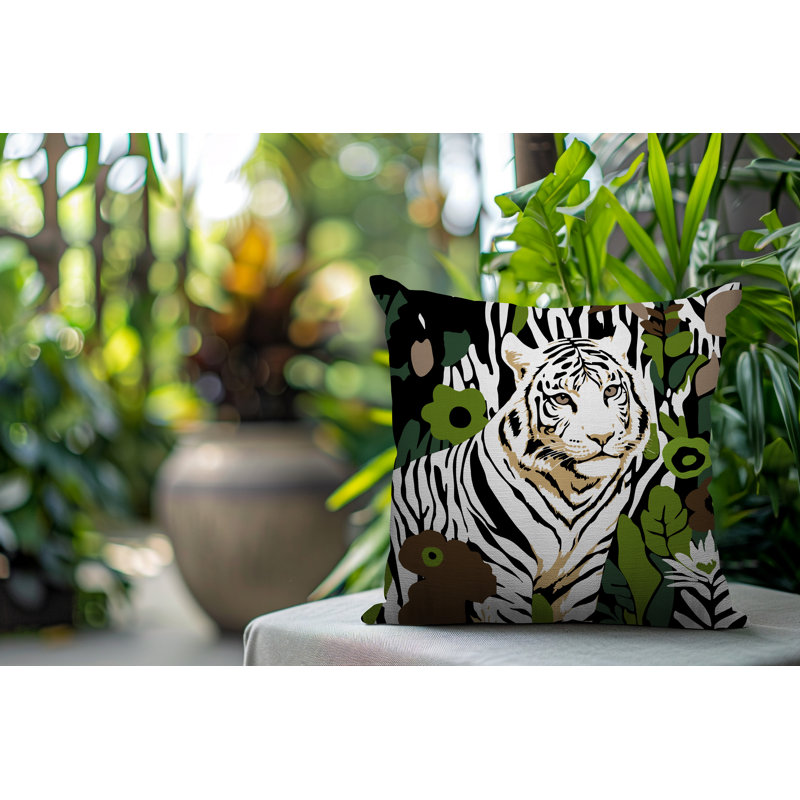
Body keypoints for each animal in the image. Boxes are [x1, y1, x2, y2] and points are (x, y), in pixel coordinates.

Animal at [385, 331, 654, 624]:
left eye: (611, 391)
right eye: (562, 399)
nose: (602, 437)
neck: (576, 490)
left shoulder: (584, 573)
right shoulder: (502, 576)